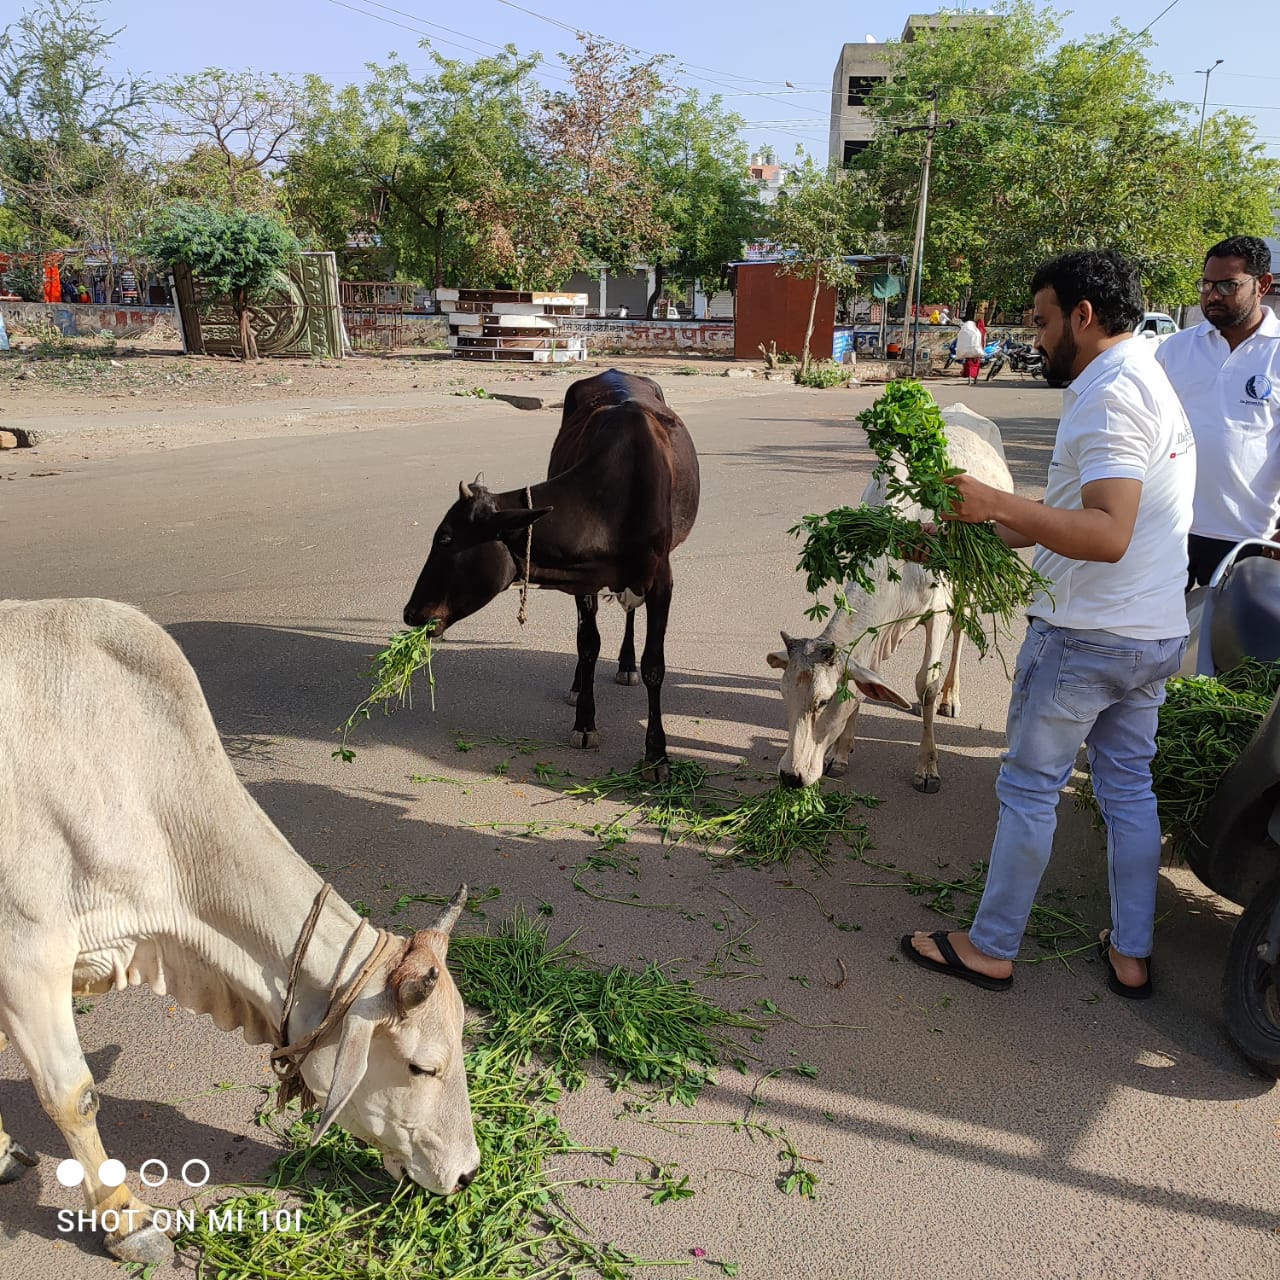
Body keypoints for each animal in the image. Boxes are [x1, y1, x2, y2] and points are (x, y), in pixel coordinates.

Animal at [762, 404, 1013, 793]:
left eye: (823, 701)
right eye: (783, 693)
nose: (791, 776)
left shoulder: (937, 611)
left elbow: (926, 683)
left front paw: (927, 767)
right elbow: (868, 680)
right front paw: (840, 755)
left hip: (967, 578)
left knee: (961, 630)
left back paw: (951, 698)